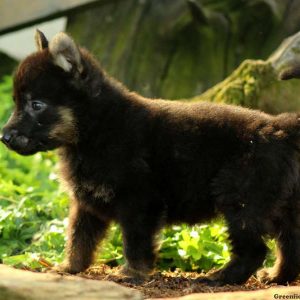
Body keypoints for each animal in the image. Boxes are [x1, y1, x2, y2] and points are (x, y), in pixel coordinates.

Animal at [0, 31, 300, 286]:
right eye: (16, 102)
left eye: (36, 104)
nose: (4, 137)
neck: (97, 129)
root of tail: (282, 127)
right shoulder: (86, 204)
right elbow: (78, 239)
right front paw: (69, 268)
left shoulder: (140, 202)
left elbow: (135, 242)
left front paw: (132, 273)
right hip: (280, 207)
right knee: (290, 245)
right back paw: (277, 276)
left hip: (240, 201)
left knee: (254, 249)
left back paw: (221, 277)